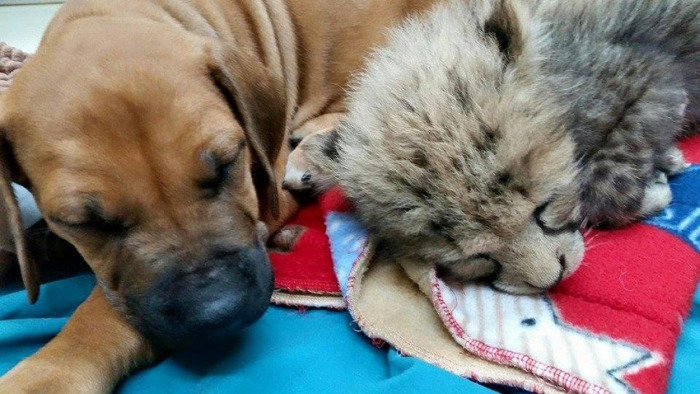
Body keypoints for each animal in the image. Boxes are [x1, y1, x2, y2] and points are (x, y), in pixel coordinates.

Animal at [0, 0, 438, 390]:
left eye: (228, 165)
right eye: (84, 223)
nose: (218, 313)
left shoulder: (268, 179)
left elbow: (103, 314)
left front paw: (51, 373)